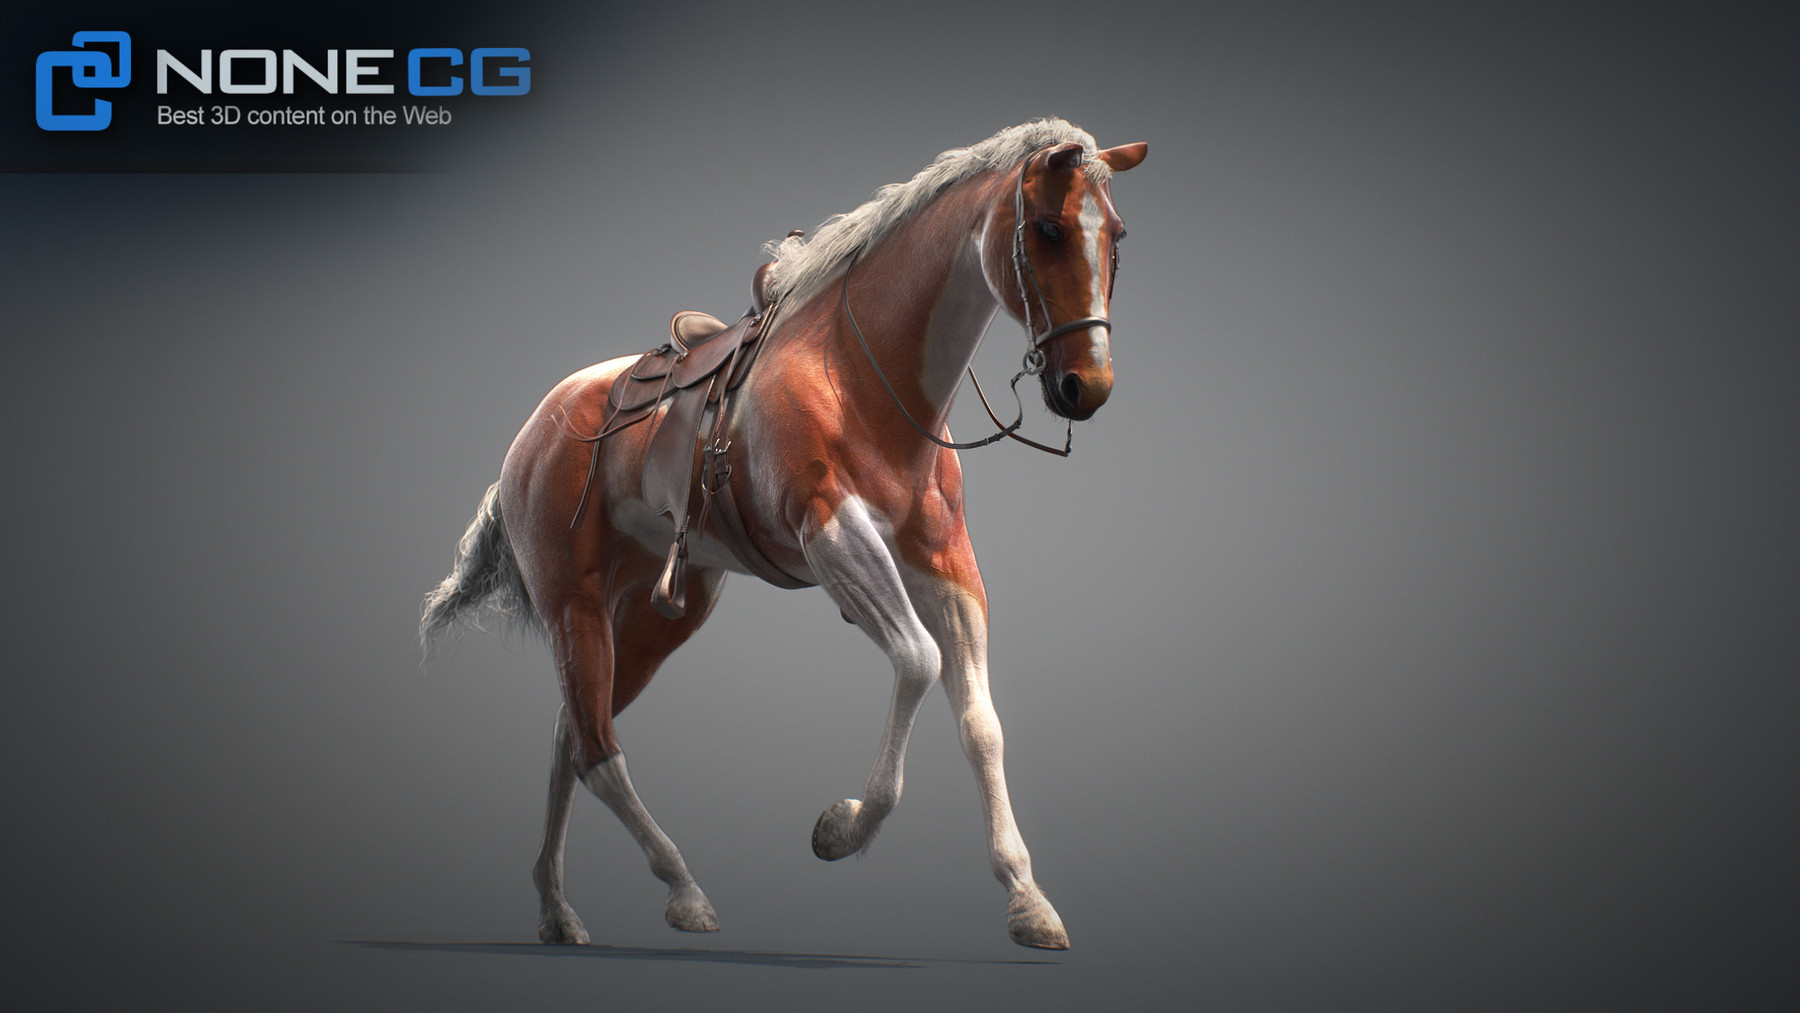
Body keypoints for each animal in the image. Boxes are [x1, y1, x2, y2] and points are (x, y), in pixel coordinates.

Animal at [421, 118, 1146, 949]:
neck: (863, 375)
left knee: (570, 733)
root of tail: (531, 434)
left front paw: (1026, 897)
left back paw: (555, 906)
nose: (1086, 387)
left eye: (1117, 235)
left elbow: (980, 722)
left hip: (659, 616)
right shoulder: (833, 537)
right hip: (573, 603)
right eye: (1048, 229)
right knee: (599, 749)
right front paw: (842, 827)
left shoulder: (945, 562)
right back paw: (682, 889)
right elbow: (918, 660)